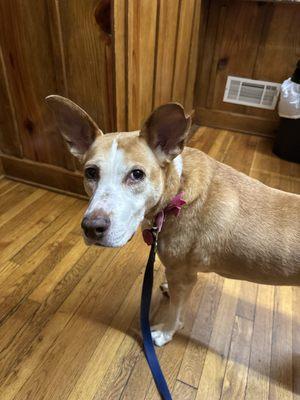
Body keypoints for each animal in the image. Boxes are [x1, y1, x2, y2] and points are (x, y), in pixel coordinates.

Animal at [46, 96, 300, 346]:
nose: (91, 228)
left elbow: (175, 312)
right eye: (91, 173)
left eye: (137, 174)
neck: (178, 189)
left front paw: (165, 333)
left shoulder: (183, 276)